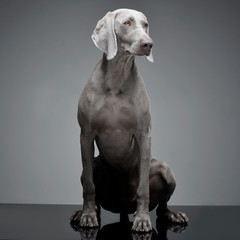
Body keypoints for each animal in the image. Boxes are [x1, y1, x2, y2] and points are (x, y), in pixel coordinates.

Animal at [70, 8, 188, 232]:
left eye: (146, 25)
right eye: (127, 23)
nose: (148, 44)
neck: (117, 77)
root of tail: (123, 207)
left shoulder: (144, 134)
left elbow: (143, 188)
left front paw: (142, 219)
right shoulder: (85, 134)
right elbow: (89, 185)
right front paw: (87, 216)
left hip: (165, 169)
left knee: (161, 205)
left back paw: (172, 214)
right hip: (95, 167)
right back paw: (84, 212)